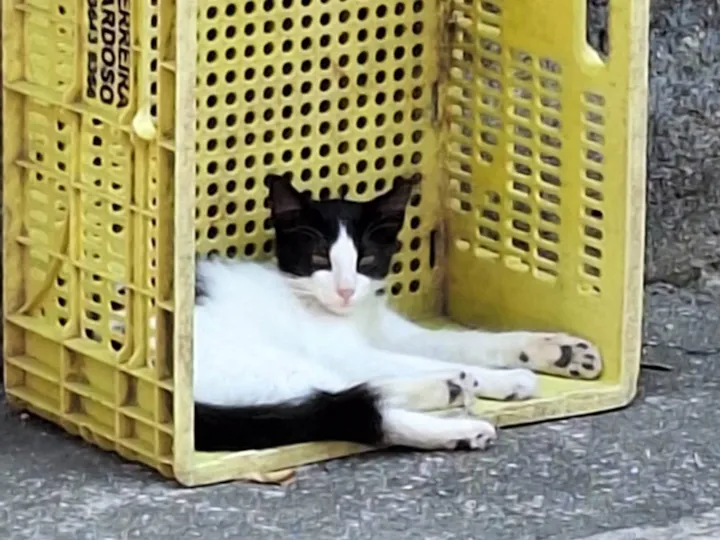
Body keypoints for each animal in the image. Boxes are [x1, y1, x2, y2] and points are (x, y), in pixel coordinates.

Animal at [191, 173, 603, 453]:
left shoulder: (392, 331)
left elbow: (460, 343)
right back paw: (452, 403)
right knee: (344, 403)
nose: (345, 290)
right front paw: (504, 378)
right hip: (258, 358)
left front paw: (557, 351)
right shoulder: (343, 349)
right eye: (320, 259)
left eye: (367, 260)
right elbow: (407, 361)